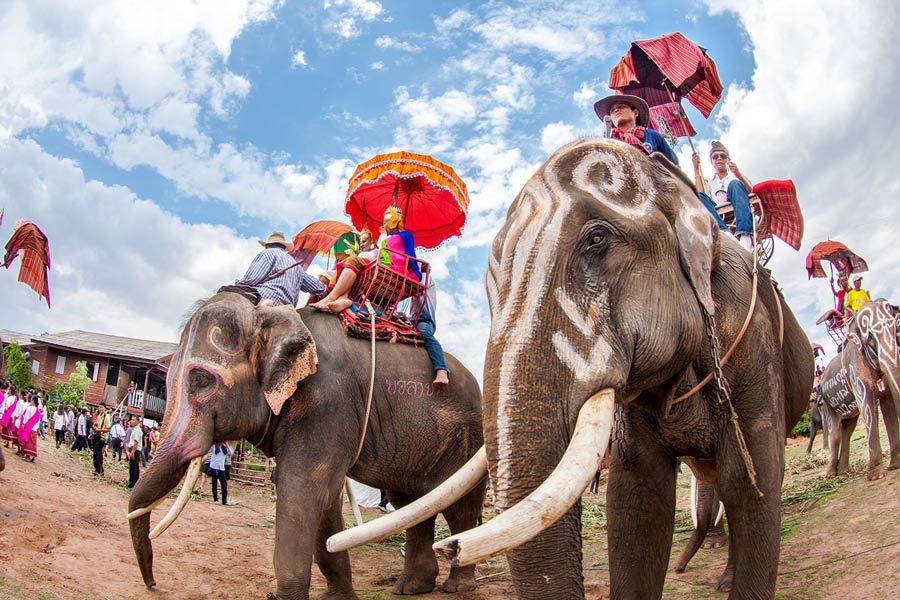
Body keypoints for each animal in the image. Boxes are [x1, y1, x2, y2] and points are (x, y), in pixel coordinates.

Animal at [125, 294, 486, 600]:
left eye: (201, 381)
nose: (153, 584)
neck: (272, 318)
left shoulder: (327, 402)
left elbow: (303, 492)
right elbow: (325, 501)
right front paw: (337, 598)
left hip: (467, 440)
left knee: (458, 505)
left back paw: (457, 587)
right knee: (410, 502)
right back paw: (411, 588)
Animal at [816, 300, 900, 482]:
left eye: (896, 327)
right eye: (870, 338)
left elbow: (888, 407)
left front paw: (895, 466)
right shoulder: (855, 369)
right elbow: (867, 407)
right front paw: (876, 476)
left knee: (848, 428)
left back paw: (844, 471)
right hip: (827, 403)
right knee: (835, 434)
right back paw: (831, 474)